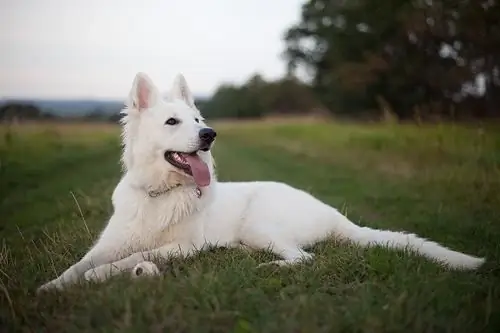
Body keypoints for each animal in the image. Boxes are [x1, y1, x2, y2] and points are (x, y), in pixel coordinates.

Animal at [38, 72, 484, 290]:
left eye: (197, 120)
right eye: (173, 122)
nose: (209, 134)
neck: (159, 194)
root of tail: (335, 215)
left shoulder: (182, 247)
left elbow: (131, 259)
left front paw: (102, 277)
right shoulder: (108, 243)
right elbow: (79, 264)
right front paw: (52, 287)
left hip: (259, 225)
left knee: (305, 259)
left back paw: (271, 267)